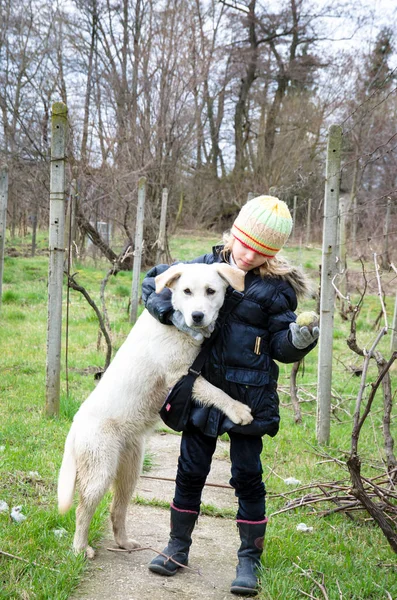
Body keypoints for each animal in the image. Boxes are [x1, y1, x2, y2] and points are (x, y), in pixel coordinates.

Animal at [57, 262, 252, 556]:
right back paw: (81, 548)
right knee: (83, 510)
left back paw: (124, 542)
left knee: (116, 509)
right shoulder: (181, 375)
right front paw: (238, 410)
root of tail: (74, 429)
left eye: (210, 291)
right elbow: (216, 392)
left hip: (130, 470)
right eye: (186, 291)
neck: (178, 327)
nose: (197, 316)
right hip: (100, 471)